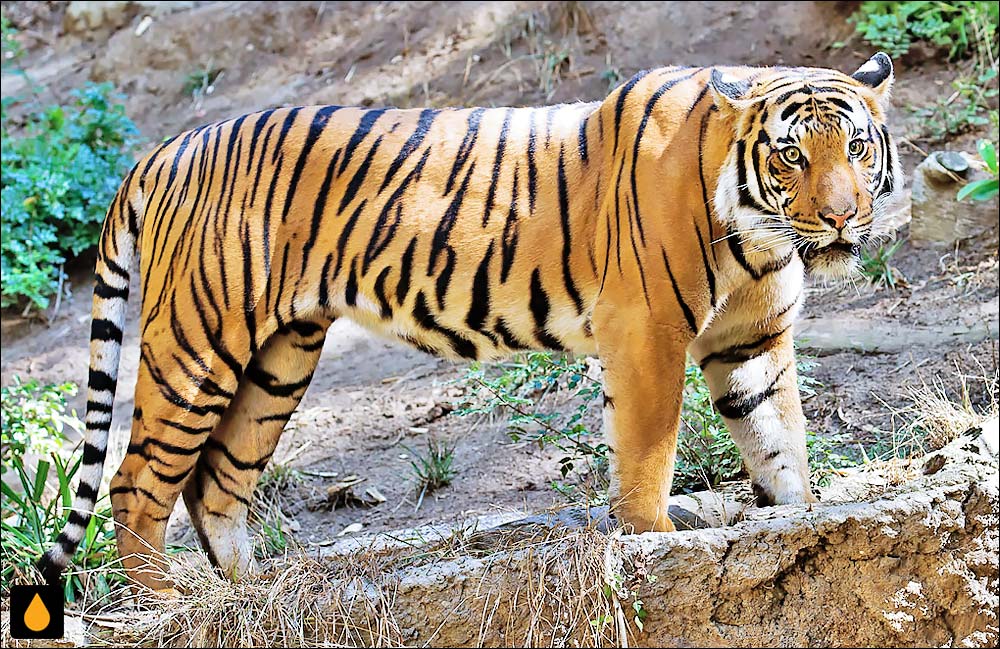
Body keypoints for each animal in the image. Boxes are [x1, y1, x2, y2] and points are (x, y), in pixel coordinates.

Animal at [39, 53, 904, 588]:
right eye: (792, 155)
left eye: (858, 147)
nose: (841, 217)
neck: (760, 237)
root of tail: (161, 150)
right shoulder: (646, 328)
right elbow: (649, 446)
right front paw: (655, 537)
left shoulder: (750, 340)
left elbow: (777, 437)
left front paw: (799, 520)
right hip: (198, 346)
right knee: (136, 481)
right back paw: (174, 601)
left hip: (279, 357)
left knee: (214, 480)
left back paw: (253, 595)